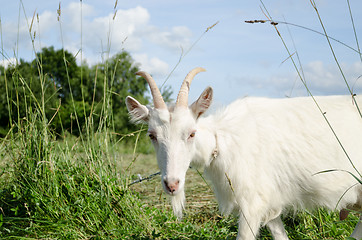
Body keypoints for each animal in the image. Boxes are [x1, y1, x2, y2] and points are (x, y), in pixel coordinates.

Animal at [126, 68, 362, 240]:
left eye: (192, 133)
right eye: (151, 135)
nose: (172, 184)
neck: (222, 140)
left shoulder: (252, 201)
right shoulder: (268, 200)